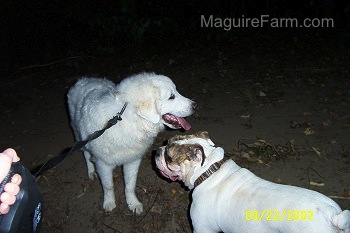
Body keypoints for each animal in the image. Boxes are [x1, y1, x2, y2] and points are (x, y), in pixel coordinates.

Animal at [67, 72, 196, 213]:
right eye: (171, 96)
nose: (195, 105)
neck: (129, 120)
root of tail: (83, 79)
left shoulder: (133, 160)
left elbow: (130, 185)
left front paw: (133, 203)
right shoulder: (103, 164)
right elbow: (108, 185)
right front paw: (109, 202)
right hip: (79, 136)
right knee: (85, 154)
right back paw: (91, 172)